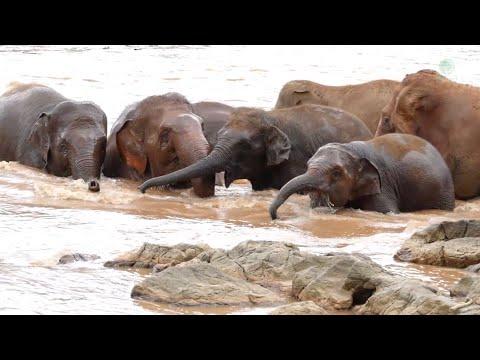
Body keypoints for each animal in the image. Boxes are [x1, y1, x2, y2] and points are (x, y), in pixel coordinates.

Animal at [270, 133, 454, 219]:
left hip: (442, 195)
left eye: (336, 173)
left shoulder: (383, 185)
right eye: (308, 166)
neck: (352, 149)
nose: (277, 217)